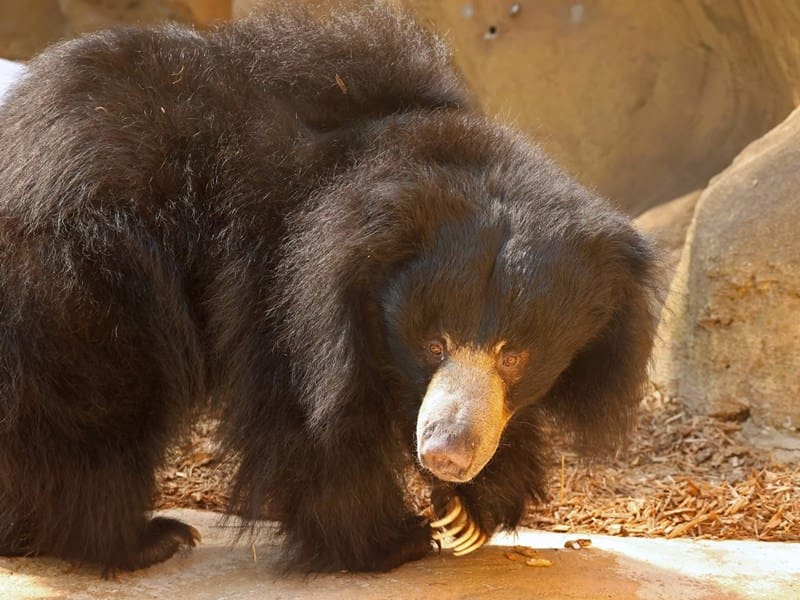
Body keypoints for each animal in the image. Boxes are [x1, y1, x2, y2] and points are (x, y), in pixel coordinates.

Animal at [0, 4, 660, 573]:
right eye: (434, 345)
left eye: (515, 355)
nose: (446, 453)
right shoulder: (281, 278)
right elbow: (306, 413)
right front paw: (396, 539)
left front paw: (469, 509)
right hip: (86, 279)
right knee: (93, 410)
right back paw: (139, 539)